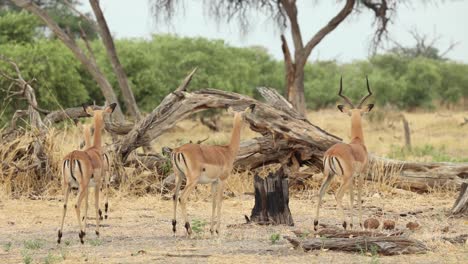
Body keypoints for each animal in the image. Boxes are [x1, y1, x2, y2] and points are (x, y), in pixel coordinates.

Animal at [170, 104, 254, 236]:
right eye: (245, 116)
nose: (250, 124)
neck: (228, 151)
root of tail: (178, 150)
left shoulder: (213, 182)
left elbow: (213, 203)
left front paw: (211, 230)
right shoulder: (222, 180)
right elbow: (220, 202)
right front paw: (218, 230)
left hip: (179, 177)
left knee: (174, 196)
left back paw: (174, 228)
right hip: (192, 180)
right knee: (182, 198)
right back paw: (189, 230)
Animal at [312, 77, 374, 231]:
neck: (357, 142)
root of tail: (331, 153)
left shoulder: (352, 178)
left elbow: (351, 197)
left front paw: (353, 224)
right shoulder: (360, 175)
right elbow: (358, 197)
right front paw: (358, 224)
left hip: (329, 175)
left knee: (320, 193)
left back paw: (316, 224)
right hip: (343, 178)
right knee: (337, 195)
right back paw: (344, 223)